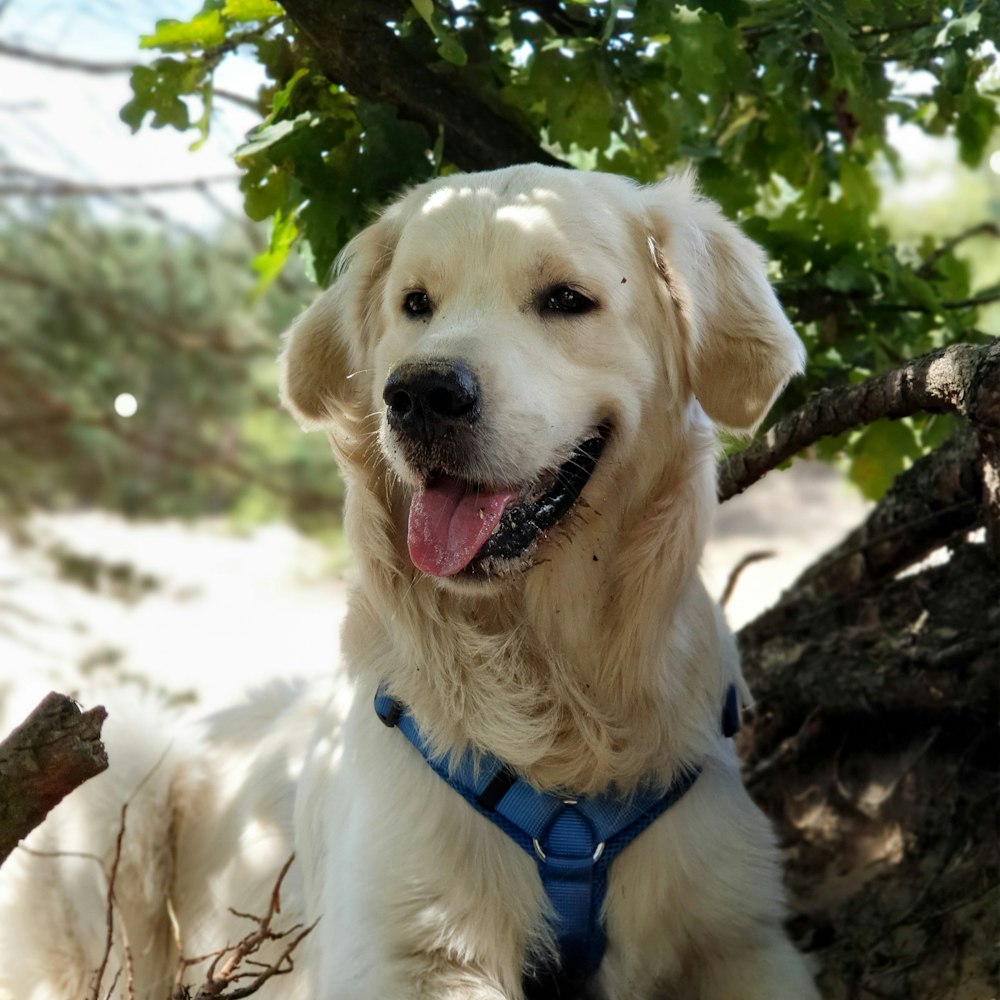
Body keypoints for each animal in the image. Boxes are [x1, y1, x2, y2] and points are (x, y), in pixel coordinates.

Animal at [0, 166, 820, 1000]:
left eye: (566, 298)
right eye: (416, 303)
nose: (422, 394)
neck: (557, 686)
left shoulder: (741, 938)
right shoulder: (408, 953)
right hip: (116, 770)